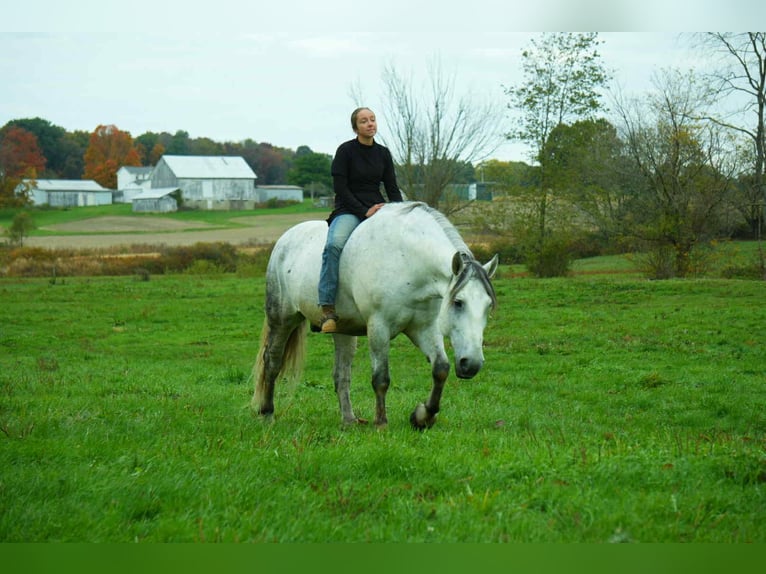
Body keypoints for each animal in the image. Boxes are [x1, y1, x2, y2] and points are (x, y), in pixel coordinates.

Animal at [251, 201, 498, 429]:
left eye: (488, 306)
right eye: (458, 302)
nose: (472, 364)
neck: (408, 260)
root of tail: (285, 240)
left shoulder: (425, 328)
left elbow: (440, 369)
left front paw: (422, 416)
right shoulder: (379, 327)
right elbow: (381, 378)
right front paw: (381, 423)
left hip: (343, 332)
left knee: (341, 375)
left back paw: (349, 420)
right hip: (282, 319)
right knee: (272, 362)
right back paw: (267, 413)